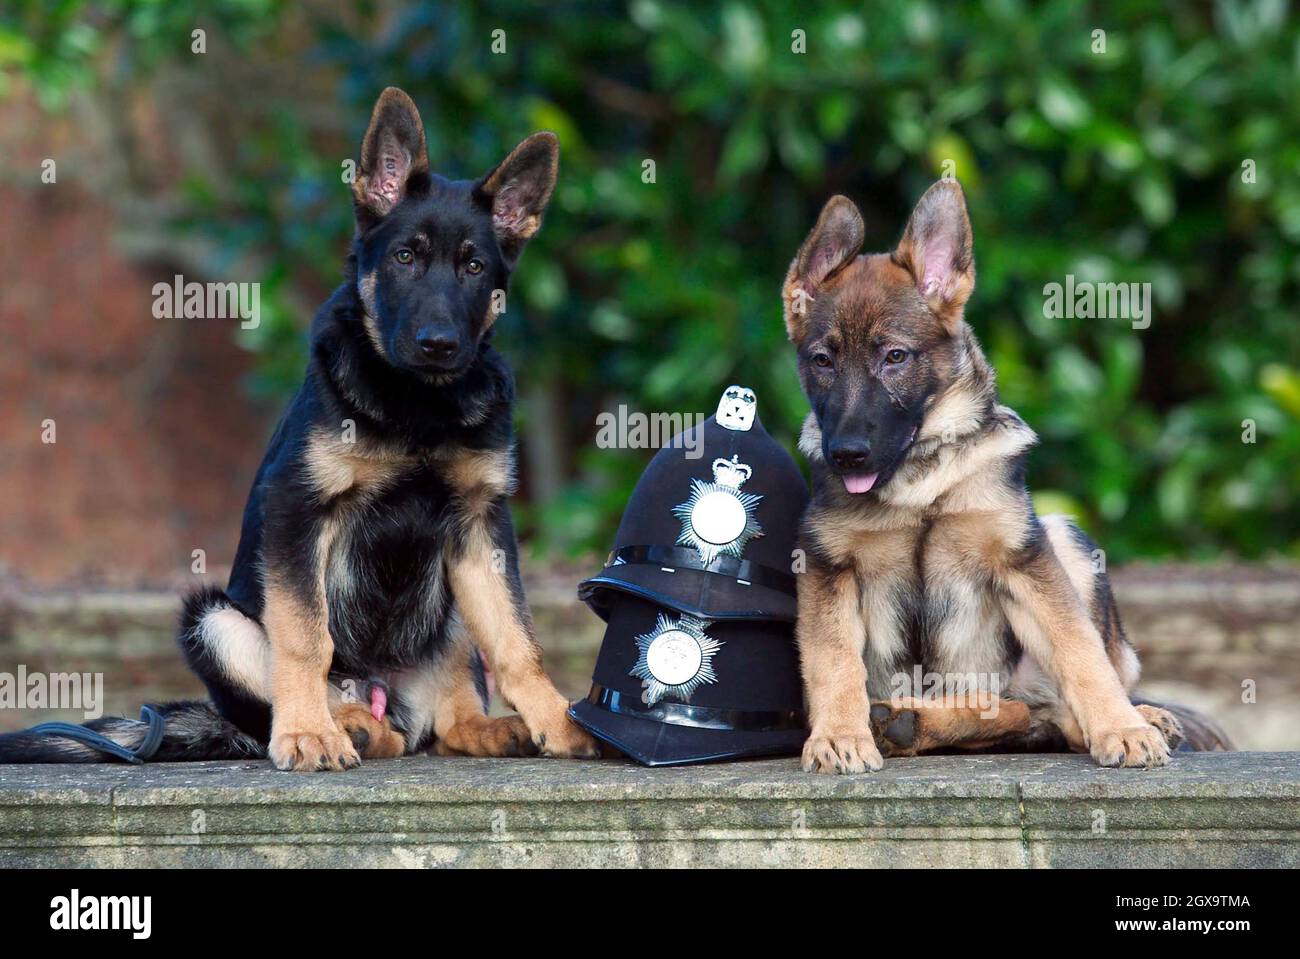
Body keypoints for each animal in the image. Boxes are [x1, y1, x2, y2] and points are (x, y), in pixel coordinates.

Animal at [0, 87, 598, 769]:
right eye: (405, 257)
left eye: (474, 267)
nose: (439, 344)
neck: (417, 403)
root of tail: (385, 694)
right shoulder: (299, 511)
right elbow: (306, 638)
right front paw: (308, 732)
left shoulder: (481, 524)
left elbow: (516, 640)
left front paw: (558, 718)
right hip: (212, 620)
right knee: (321, 702)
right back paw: (340, 724)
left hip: (447, 610)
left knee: (445, 716)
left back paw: (478, 726)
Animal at [780, 183, 1227, 774]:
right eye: (822, 361)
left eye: (895, 357)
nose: (847, 455)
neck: (920, 482)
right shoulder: (829, 568)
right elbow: (834, 660)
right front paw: (838, 736)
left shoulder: (1023, 559)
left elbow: (1080, 651)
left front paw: (1122, 728)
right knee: (1024, 714)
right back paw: (907, 721)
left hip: (1063, 535)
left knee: (1056, 703)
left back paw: (1137, 716)